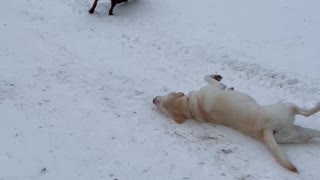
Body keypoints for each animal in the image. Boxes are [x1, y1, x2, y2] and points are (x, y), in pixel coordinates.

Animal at [153, 74, 320, 172]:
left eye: (161, 102)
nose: (154, 99)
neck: (189, 107)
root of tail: (265, 130)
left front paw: (230, 86)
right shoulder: (216, 86)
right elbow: (209, 78)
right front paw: (218, 77)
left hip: (298, 133)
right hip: (288, 107)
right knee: (307, 113)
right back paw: (318, 105)